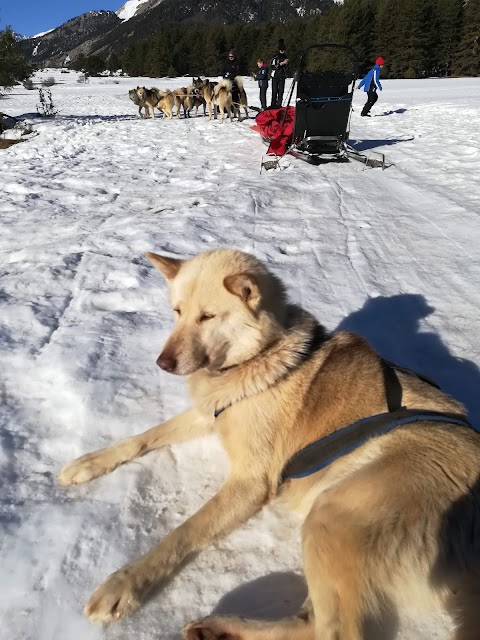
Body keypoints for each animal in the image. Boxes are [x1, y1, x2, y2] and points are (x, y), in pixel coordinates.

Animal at [59, 248, 480, 636]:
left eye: (207, 316)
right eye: (177, 311)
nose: (162, 363)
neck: (258, 359)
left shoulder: (250, 484)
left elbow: (183, 533)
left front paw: (126, 583)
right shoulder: (207, 415)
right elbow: (142, 438)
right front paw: (90, 462)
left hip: (331, 516)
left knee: (328, 632)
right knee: (311, 620)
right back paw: (220, 629)